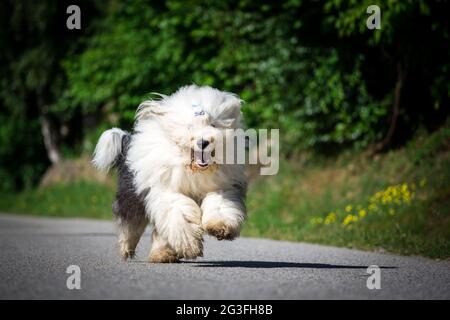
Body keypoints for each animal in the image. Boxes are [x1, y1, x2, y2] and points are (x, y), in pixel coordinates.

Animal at [91, 85, 246, 262]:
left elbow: (220, 205)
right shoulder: (165, 192)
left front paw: (220, 227)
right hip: (131, 194)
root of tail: (128, 141)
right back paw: (127, 248)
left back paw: (162, 253)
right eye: (189, 126)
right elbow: (179, 212)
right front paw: (190, 243)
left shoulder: (222, 187)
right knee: (130, 223)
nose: (203, 142)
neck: (191, 167)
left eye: (213, 125)